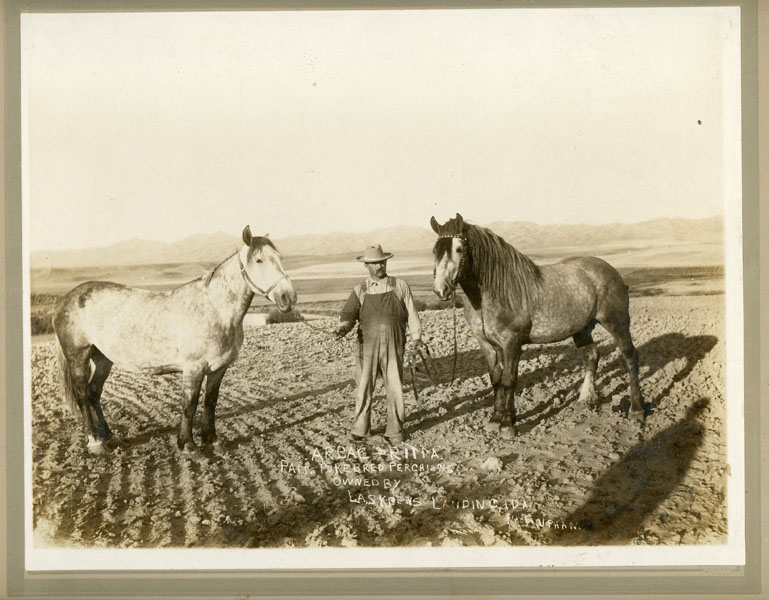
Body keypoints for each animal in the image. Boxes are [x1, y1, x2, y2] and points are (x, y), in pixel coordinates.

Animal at [54, 226, 296, 454]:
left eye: (280, 257)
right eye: (259, 260)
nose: (288, 297)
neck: (215, 309)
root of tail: (66, 299)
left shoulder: (219, 369)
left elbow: (210, 403)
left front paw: (213, 443)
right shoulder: (194, 368)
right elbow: (189, 405)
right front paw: (188, 446)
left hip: (103, 358)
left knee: (94, 394)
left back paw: (111, 438)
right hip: (78, 356)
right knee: (83, 395)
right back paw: (96, 442)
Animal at [428, 213, 644, 438]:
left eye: (459, 249)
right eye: (435, 250)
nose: (441, 290)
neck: (493, 294)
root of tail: (611, 270)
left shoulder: (512, 343)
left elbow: (509, 380)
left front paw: (507, 424)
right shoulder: (487, 344)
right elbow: (495, 379)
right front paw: (495, 418)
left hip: (617, 323)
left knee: (629, 357)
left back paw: (636, 410)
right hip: (582, 329)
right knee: (591, 356)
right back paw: (585, 400)